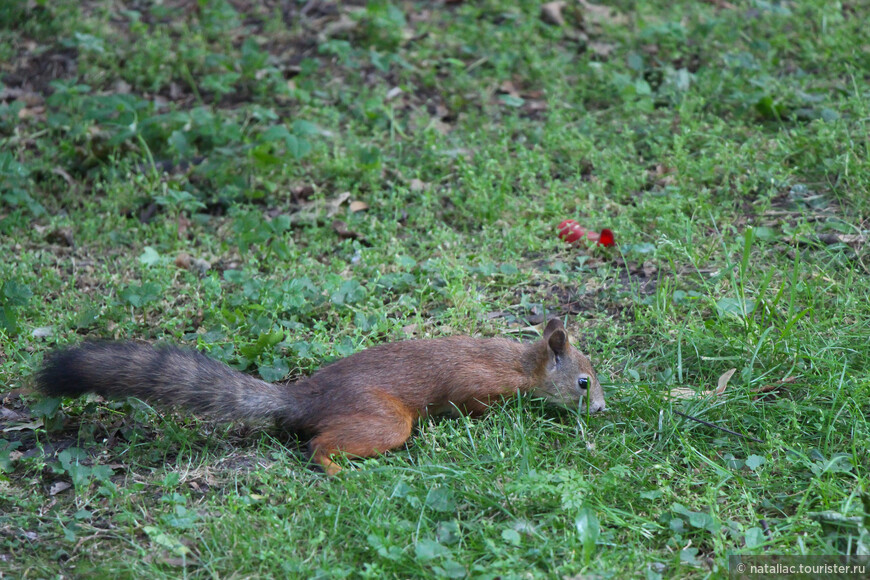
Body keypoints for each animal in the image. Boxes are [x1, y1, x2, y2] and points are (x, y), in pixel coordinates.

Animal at [35, 318, 608, 476]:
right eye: (584, 382)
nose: (602, 408)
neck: (519, 364)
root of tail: (303, 399)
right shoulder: (475, 383)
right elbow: (472, 403)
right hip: (384, 422)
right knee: (317, 445)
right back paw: (335, 470)